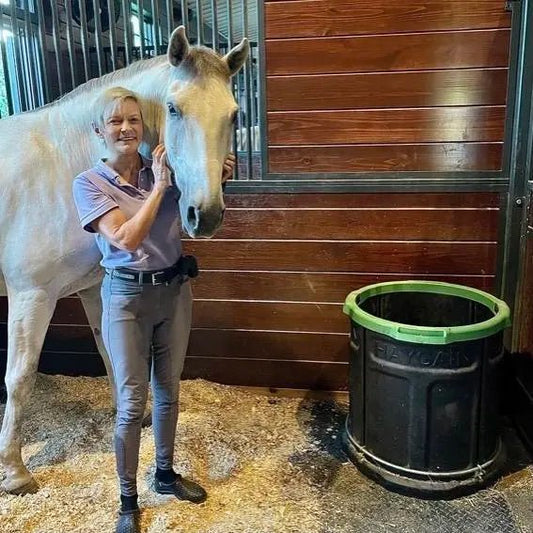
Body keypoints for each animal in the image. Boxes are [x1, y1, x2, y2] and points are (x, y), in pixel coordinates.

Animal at [0, 26, 248, 494]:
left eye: (233, 114)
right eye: (174, 108)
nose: (204, 215)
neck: (63, 163)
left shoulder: (94, 287)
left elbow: (111, 355)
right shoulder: (31, 296)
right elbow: (20, 377)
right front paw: (15, 471)